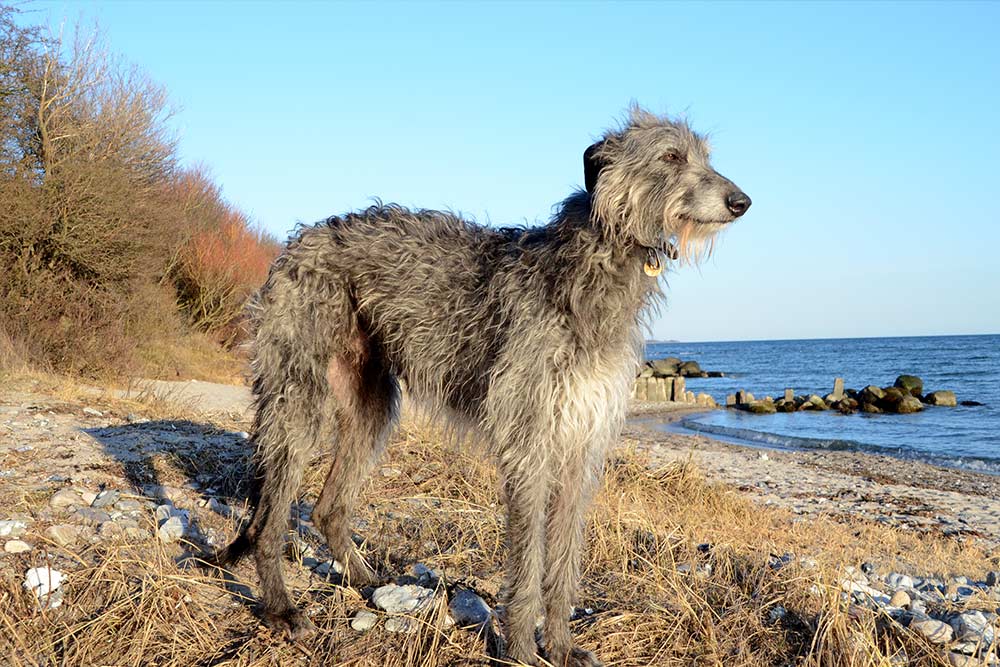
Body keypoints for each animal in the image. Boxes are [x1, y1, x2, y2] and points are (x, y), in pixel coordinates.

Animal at [217, 107, 752, 664]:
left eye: (704, 156)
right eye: (671, 156)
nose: (742, 202)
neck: (593, 264)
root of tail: (298, 242)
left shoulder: (580, 441)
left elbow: (563, 558)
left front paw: (561, 646)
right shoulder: (530, 439)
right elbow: (529, 559)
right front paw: (520, 647)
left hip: (369, 403)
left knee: (327, 508)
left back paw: (366, 580)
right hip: (298, 392)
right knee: (269, 521)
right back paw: (281, 608)